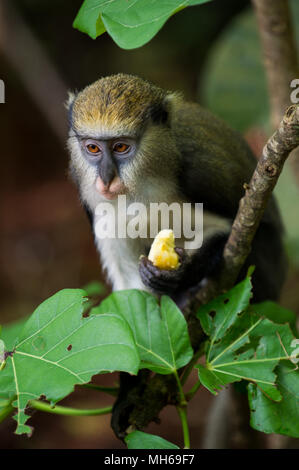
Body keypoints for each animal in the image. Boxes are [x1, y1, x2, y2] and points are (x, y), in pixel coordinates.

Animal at [67, 73, 288, 302]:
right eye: (93, 148)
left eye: (120, 147)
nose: (106, 178)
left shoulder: (199, 173)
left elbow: (224, 230)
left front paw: (182, 273)